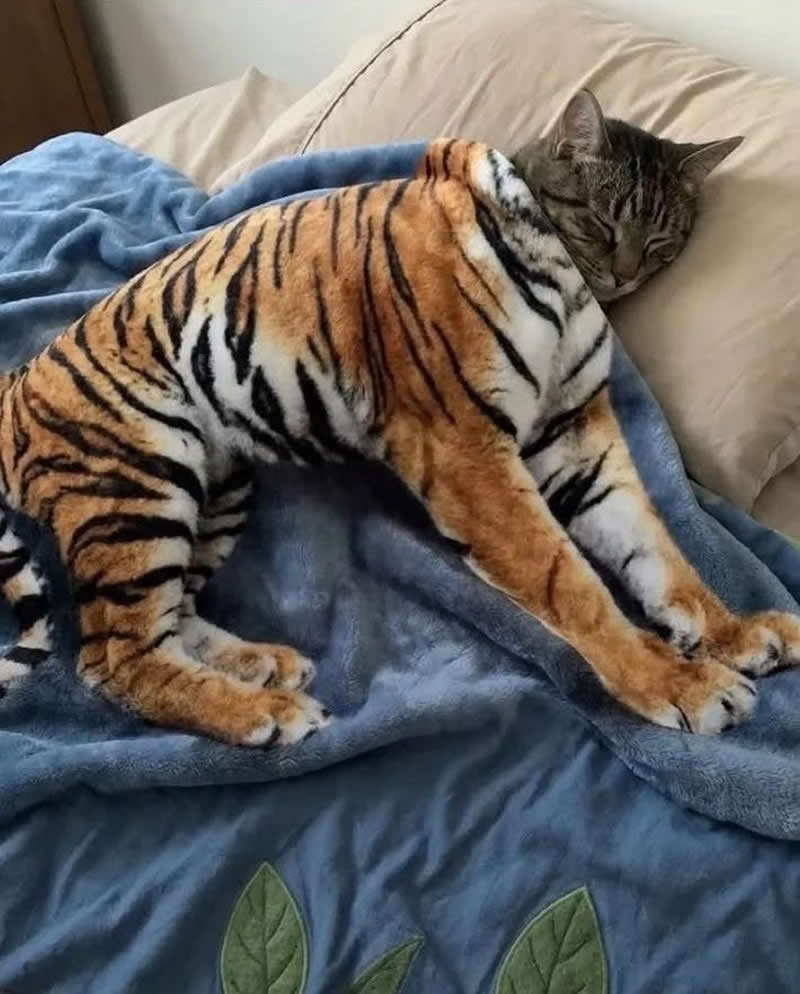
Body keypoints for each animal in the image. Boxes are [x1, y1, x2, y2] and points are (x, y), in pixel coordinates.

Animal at [1, 132, 796, 747]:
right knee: (113, 659)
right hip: (138, 483)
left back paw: (262, 666)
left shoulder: (576, 436)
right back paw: (267, 712)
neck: (560, 277)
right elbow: (573, 585)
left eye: (661, 240)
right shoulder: (469, 457)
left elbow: (658, 551)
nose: (626, 275)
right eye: (604, 223)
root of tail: (15, 381)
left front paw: (735, 634)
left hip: (215, 485)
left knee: (167, 620)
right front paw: (682, 685)